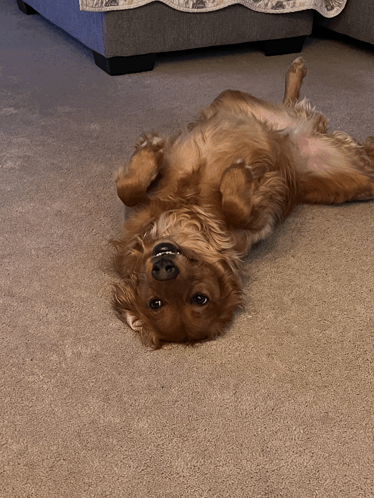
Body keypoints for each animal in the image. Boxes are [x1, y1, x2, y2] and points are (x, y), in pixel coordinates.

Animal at [112, 56, 374, 348]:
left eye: (199, 298)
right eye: (155, 302)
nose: (163, 268)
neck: (186, 209)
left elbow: (128, 189)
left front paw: (151, 149)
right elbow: (236, 206)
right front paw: (237, 172)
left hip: (231, 97)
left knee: (293, 102)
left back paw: (296, 69)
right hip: (351, 179)